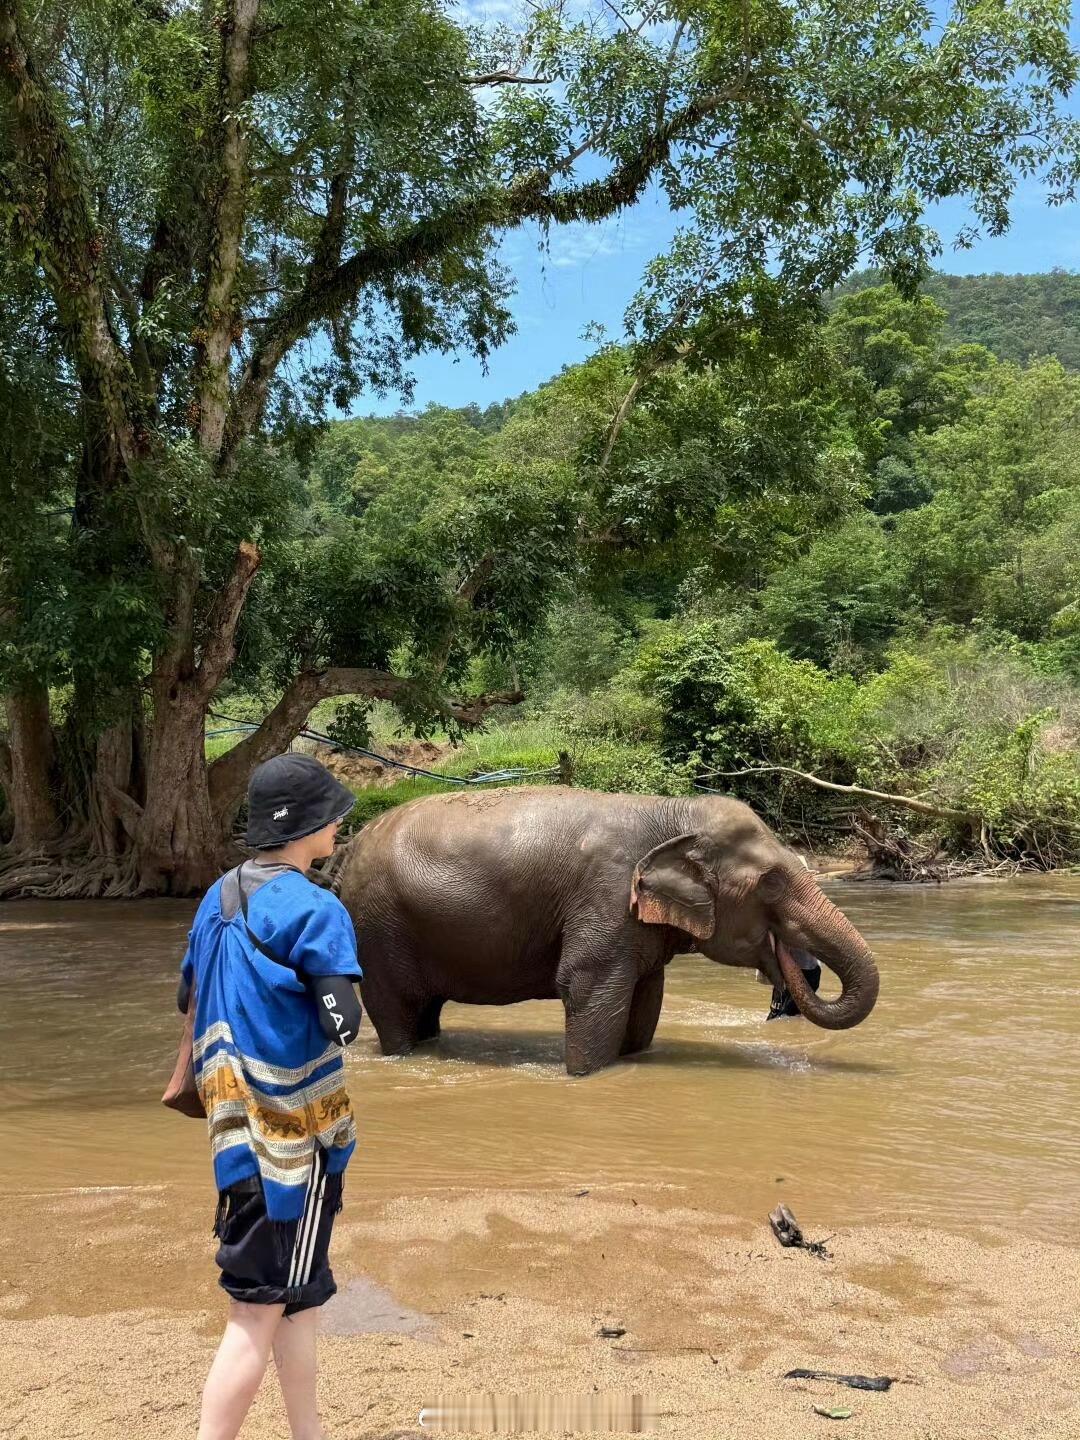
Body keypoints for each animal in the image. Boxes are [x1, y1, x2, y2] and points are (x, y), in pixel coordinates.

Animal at [338, 786, 879, 1076]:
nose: (793, 969)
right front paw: (583, 1074)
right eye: (771, 882)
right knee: (396, 1013)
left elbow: (646, 999)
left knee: (426, 1011)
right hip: (376, 931)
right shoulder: (607, 896)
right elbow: (586, 986)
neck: (670, 811)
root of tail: (348, 849)